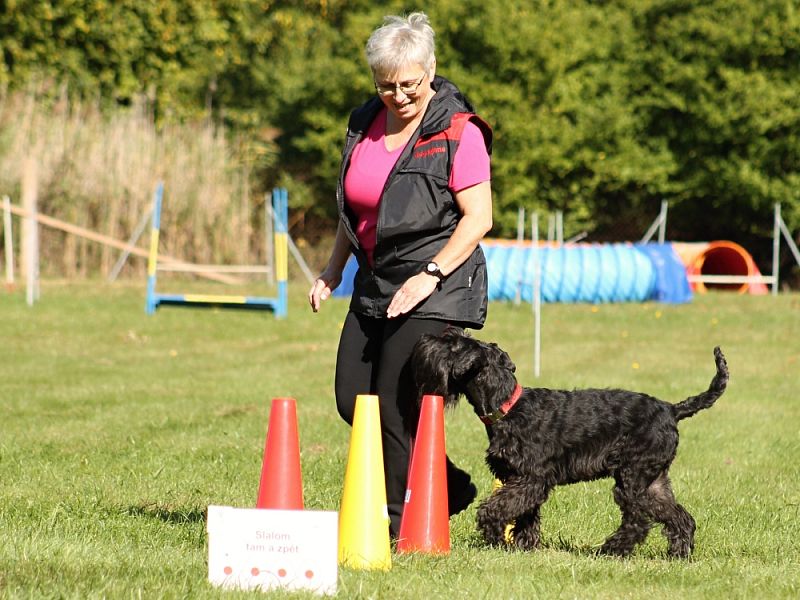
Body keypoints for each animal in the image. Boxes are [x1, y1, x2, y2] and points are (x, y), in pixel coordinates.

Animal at [410, 328, 728, 556]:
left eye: (452, 343)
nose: (423, 339)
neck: (508, 406)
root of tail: (671, 409)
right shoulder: (523, 479)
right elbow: (526, 514)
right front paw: (525, 546)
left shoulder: (530, 478)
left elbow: (499, 507)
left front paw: (493, 536)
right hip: (653, 481)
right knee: (678, 516)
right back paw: (679, 553)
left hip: (632, 479)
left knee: (638, 520)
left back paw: (610, 549)